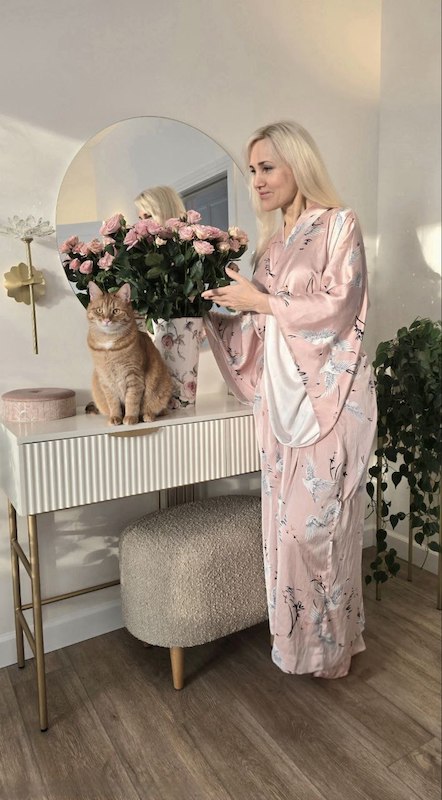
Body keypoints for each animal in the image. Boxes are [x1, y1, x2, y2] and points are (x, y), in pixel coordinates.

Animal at [86, 282, 172, 425]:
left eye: (115, 311)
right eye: (99, 310)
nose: (106, 320)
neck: (109, 343)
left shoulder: (134, 376)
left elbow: (132, 401)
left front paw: (130, 417)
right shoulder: (106, 380)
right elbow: (113, 403)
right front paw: (116, 417)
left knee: (157, 410)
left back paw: (148, 416)